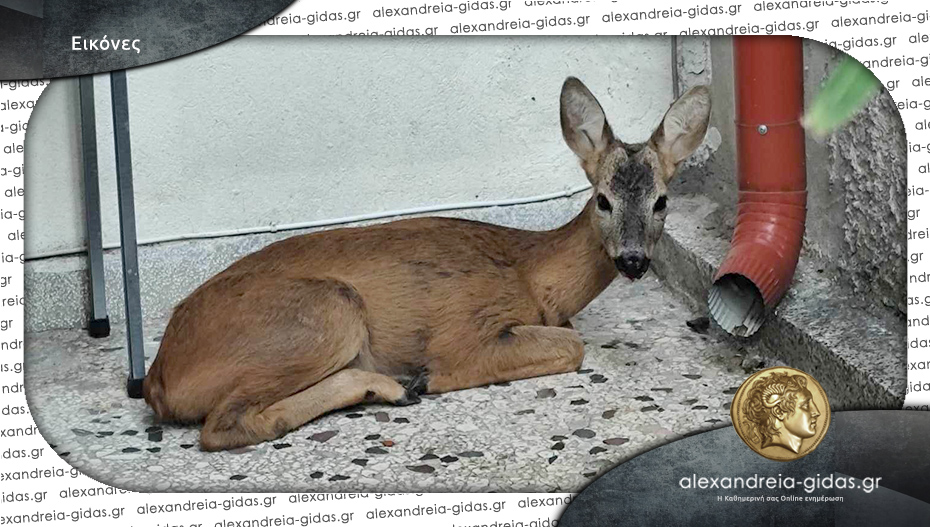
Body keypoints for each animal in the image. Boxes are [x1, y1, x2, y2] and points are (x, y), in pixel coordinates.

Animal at [143, 77, 712, 450]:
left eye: (661, 201)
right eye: (603, 200)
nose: (634, 259)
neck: (533, 276)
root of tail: (160, 377)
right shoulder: (465, 329)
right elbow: (571, 347)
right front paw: (431, 377)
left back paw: (390, 388)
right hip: (322, 312)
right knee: (223, 426)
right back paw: (400, 384)